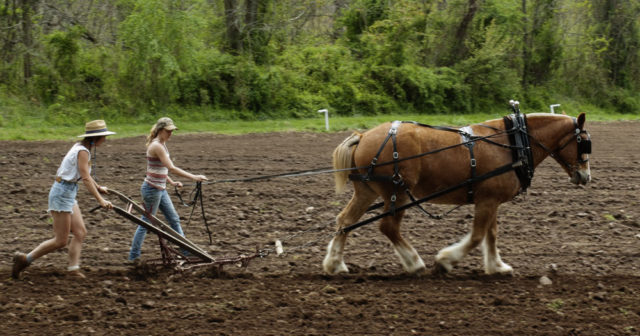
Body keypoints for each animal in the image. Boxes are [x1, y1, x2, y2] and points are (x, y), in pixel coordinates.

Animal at [322, 113, 592, 276]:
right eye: (583, 143)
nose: (585, 177)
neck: (513, 143)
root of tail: (363, 136)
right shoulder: (487, 201)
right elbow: (477, 236)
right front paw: (446, 260)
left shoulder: (491, 200)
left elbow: (491, 235)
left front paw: (497, 266)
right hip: (397, 194)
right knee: (388, 227)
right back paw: (414, 263)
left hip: (367, 191)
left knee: (345, 221)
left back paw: (335, 264)